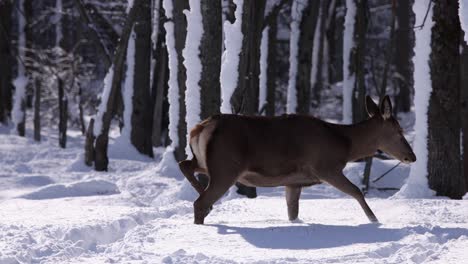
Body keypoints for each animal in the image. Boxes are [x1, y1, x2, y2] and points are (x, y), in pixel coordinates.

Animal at [179, 96, 416, 225]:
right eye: (399, 131)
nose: (412, 156)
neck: (345, 144)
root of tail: (199, 128)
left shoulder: (294, 181)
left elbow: (293, 211)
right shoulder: (325, 167)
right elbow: (357, 191)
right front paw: (374, 220)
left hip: (207, 162)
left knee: (185, 165)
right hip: (226, 166)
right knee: (199, 201)